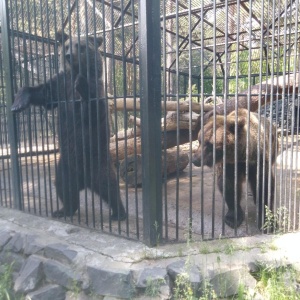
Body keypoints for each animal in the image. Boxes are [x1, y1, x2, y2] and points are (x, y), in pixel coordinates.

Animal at [11, 31, 126, 221]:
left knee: (109, 186)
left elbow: (94, 109)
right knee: (64, 186)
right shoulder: (61, 86)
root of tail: (85, 182)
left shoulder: (96, 88)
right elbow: (44, 92)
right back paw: (63, 209)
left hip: (97, 161)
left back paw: (119, 213)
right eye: (66, 46)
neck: (76, 72)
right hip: (65, 166)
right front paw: (18, 103)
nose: (68, 55)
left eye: (81, 46)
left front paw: (82, 85)